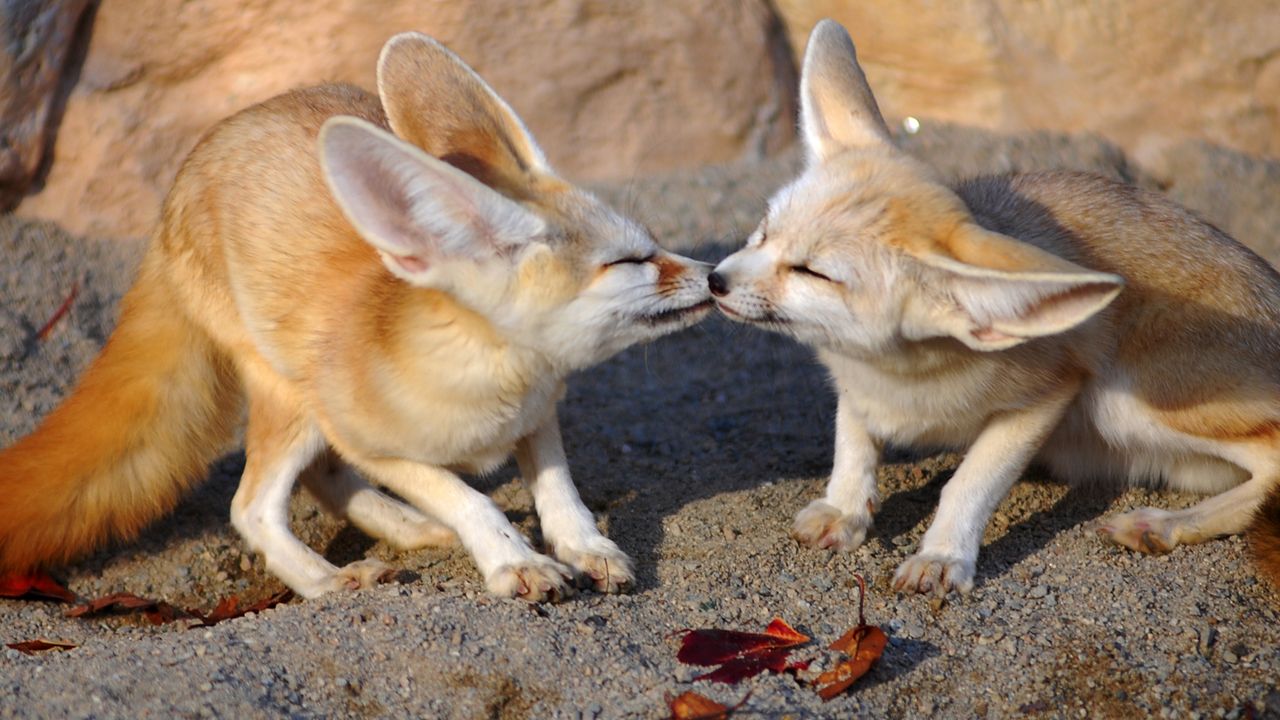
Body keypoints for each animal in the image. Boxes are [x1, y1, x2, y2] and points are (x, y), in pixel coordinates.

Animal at [0, 32, 712, 601]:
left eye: (651, 242)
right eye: (629, 262)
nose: (714, 276)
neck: (493, 376)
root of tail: (178, 187)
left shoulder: (538, 417)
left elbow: (559, 490)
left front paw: (584, 547)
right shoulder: (367, 439)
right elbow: (470, 496)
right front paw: (514, 559)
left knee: (318, 479)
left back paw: (408, 529)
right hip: (293, 397)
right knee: (252, 506)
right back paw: (327, 580)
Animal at [709, 19, 1280, 597]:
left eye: (813, 272)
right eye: (764, 232)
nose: (714, 280)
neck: (898, 376)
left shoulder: (1048, 396)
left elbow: (970, 482)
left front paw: (942, 555)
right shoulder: (856, 387)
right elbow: (853, 442)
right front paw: (845, 509)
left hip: (1126, 401)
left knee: (1272, 462)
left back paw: (1163, 524)